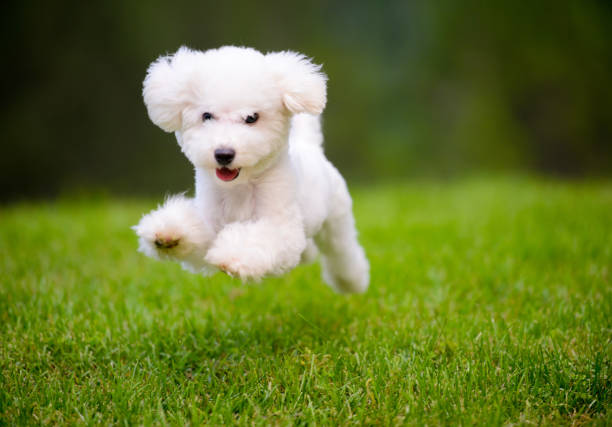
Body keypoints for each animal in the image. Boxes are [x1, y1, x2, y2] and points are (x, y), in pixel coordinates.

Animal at [134, 46, 370, 294]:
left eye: (251, 118)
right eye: (206, 116)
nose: (224, 154)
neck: (240, 188)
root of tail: (309, 144)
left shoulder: (281, 227)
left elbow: (260, 239)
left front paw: (234, 257)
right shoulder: (211, 224)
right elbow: (196, 234)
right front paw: (168, 235)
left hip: (337, 216)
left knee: (342, 250)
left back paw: (352, 281)